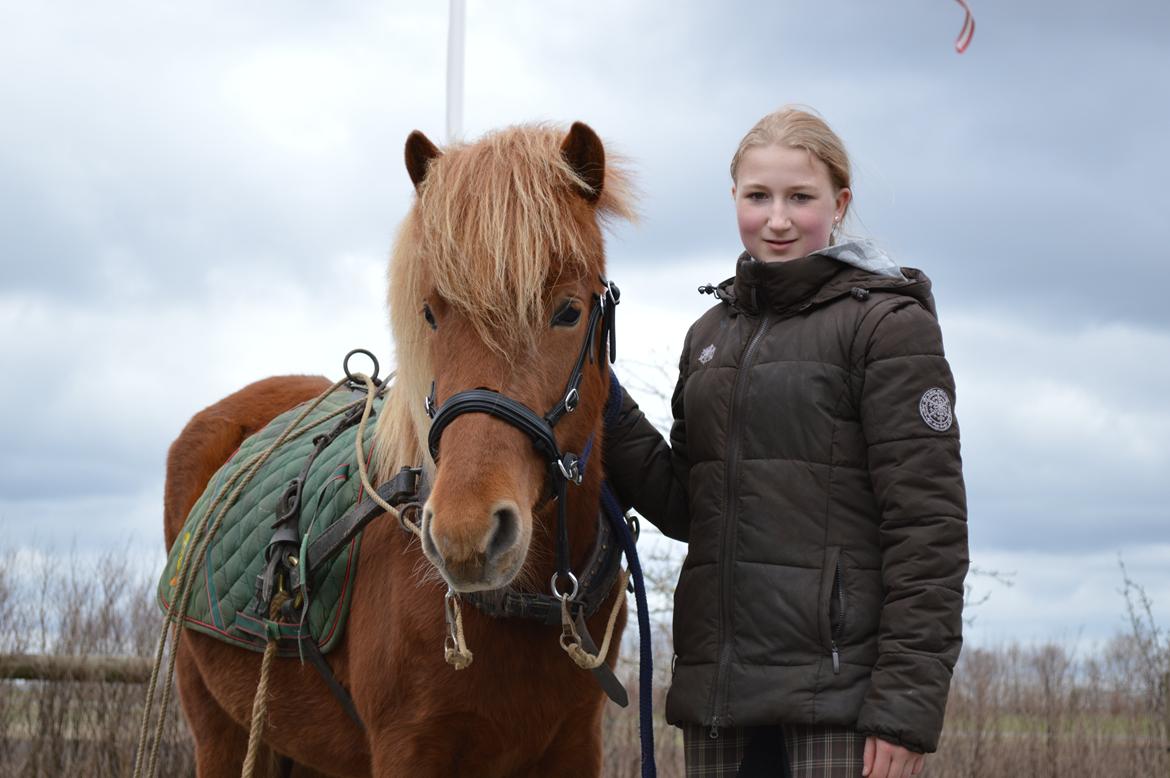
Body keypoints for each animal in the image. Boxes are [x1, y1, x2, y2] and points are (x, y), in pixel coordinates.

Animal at [157, 124, 641, 772]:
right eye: (431, 314)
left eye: (569, 310)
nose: (465, 533)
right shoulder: (407, 748)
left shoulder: (575, 744)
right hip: (221, 732)